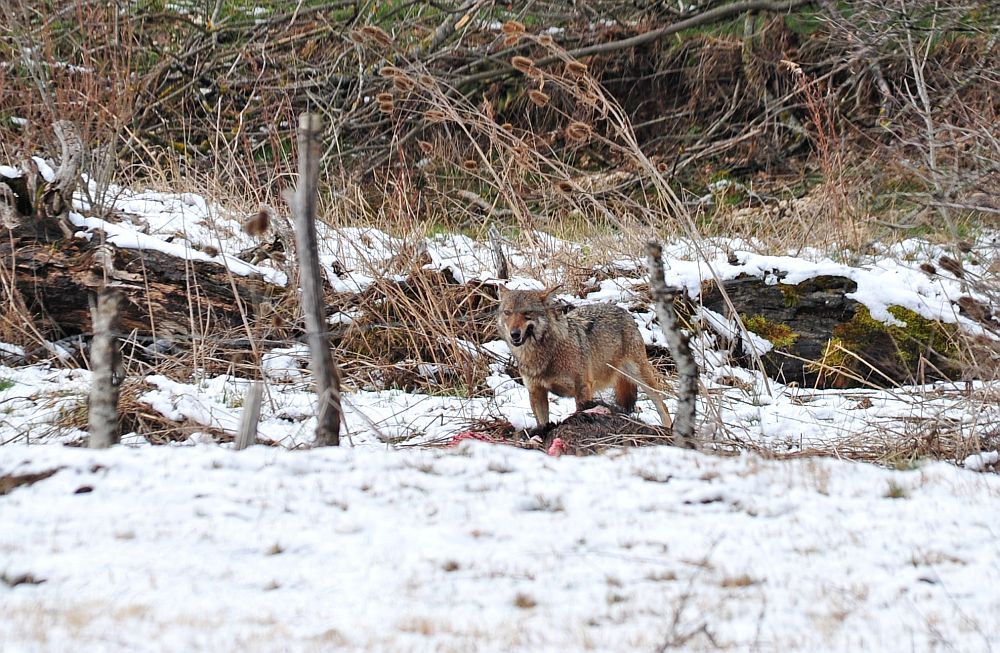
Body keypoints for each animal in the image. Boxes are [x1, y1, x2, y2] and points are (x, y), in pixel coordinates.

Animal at [498, 284, 672, 428]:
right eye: (507, 313)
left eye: (527, 313)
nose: (514, 334)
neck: (544, 356)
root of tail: (623, 311)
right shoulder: (536, 392)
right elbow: (543, 423)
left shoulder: (582, 388)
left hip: (641, 377)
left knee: (662, 405)